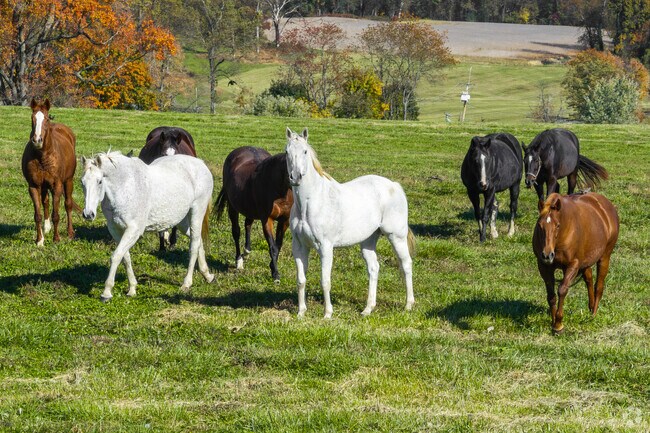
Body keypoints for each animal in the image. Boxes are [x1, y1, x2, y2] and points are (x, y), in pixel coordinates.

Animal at [21, 98, 79, 246]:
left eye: (46, 119)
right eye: (32, 118)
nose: (37, 140)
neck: (42, 156)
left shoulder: (56, 186)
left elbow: (56, 214)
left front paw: (56, 239)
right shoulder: (34, 186)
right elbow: (38, 214)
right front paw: (39, 240)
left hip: (68, 181)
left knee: (68, 204)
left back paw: (70, 233)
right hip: (44, 186)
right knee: (46, 202)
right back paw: (46, 229)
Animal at [80, 151, 214, 301]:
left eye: (99, 181)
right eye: (82, 182)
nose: (88, 214)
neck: (125, 186)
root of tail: (200, 163)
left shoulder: (134, 230)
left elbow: (116, 256)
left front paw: (107, 292)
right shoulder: (116, 230)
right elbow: (125, 257)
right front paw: (132, 288)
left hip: (197, 212)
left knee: (194, 245)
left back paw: (186, 283)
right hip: (182, 221)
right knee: (197, 240)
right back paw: (207, 275)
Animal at [214, 146, 293, 282]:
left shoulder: (285, 220)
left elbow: (278, 245)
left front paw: (272, 266)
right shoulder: (267, 219)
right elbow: (273, 247)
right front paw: (275, 274)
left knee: (248, 225)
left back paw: (247, 250)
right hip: (233, 208)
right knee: (236, 232)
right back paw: (239, 261)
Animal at [285, 128, 415, 318]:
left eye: (305, 151)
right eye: (287, 152)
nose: (295, 177)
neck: (311, 203)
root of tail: (394, 185)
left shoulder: (325, 247)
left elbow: (325, 281)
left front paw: (327, 314)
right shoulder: (299, 246)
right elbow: (301, 280)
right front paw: (301, 312)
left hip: (396, 237)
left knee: (406, 264)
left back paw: (408, 305)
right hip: (368, 240)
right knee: (374, 268)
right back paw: (368, 309)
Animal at [533, 192, 619, 334]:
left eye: (557, 225)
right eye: (540, 225)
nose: (547, 255)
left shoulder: (573, 265)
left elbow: (562, 290)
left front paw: (558, 325)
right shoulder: (544, 266)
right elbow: (551, 295)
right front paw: (553, 321)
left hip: (605, 257)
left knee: (598, 286)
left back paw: (593, 314)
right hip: (585, 262)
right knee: (589, 279)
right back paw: (590, 308)